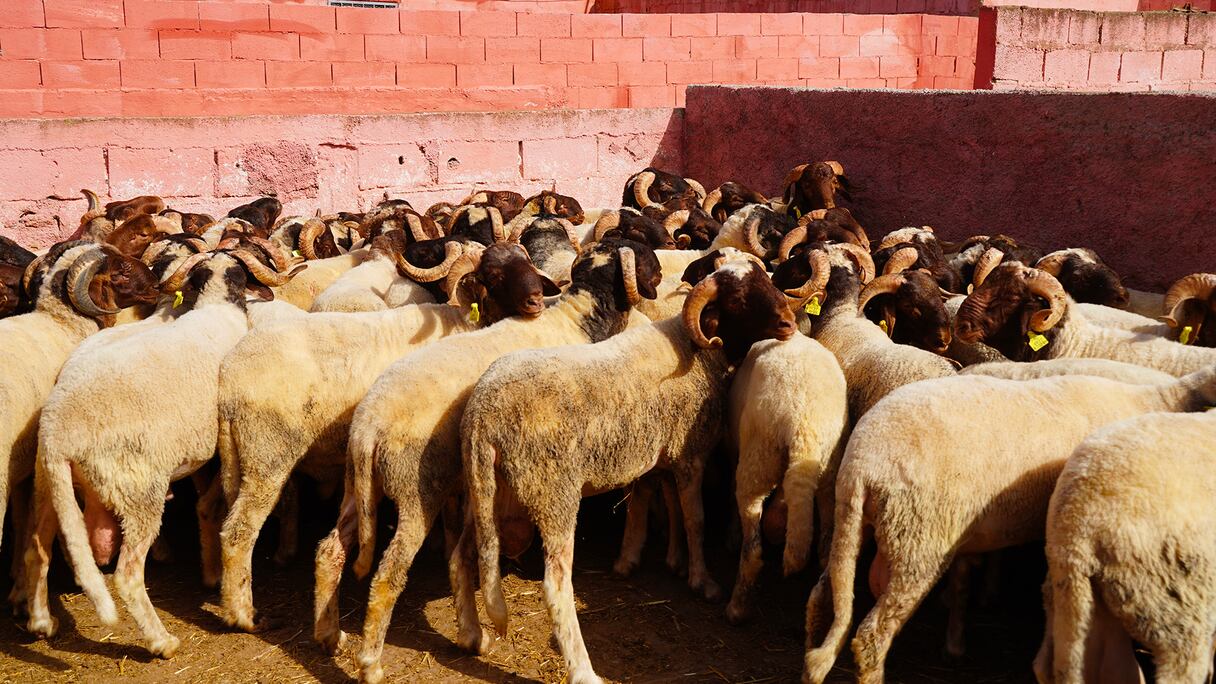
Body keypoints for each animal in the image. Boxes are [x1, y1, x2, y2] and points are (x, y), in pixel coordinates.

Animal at [20, 247, 297, 657]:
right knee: (128, 575)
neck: (217, 306)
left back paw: (42, 623)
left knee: (37, 549)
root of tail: (58, 434)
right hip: (139, 493)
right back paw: (160, 641)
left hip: (50, 487)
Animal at [217, 241, 561, 632]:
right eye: (493, 274)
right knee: (238, 533)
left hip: (242, 457)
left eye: (527, 260)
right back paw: (245, 616)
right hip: (268, 455)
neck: (467, 322)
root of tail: (228, 377)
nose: (535, 300)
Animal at [314, 239, 662, 682]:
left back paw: (329, 636)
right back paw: (371, 665)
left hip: (359, 489)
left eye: (529, 260)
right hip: (417, 493)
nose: (534, 299)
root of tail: (368, 427)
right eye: (493, 276)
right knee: (388, 575)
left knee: (330, 550)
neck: (577, 320)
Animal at [455, 258, 796, 684]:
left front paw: (645, 559)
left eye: (766, 279)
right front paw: (703, 581)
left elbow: (651, 502)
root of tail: (484, 414)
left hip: (485, 492)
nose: (788, 322)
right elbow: (695, 520)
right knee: (556, 586)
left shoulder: (653, 456)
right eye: (736, 299)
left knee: (461, 557)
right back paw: (583, 670)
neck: (696, 352)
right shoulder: (690, 455)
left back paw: (471, 635)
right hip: (553, 493)